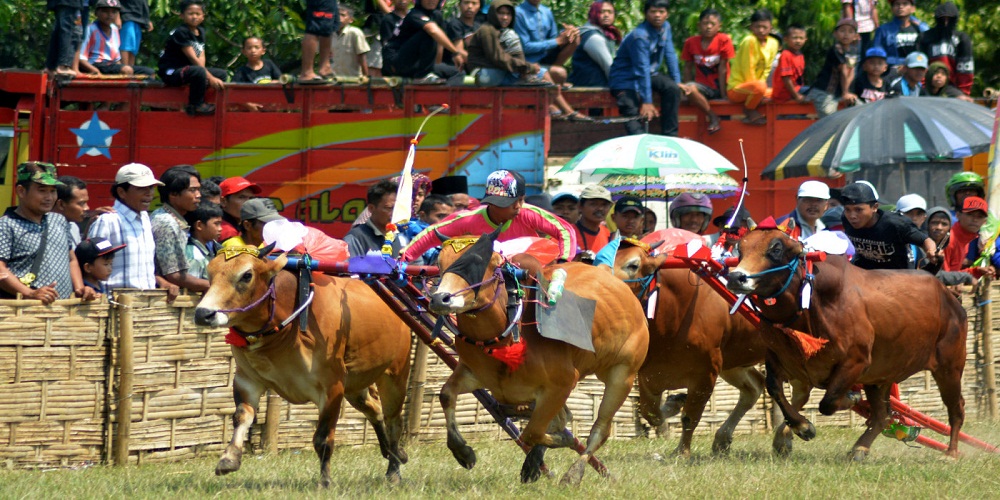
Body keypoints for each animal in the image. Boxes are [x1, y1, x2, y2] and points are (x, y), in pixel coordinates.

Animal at [193, 244, 412, 486]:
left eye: (246, 275)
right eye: (210, 272)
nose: (203, 314)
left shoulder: (331, 387)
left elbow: (323, 438)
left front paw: (325, 481)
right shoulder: (246, 379)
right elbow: (241, 416)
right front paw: (229, 458)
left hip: (395, 376)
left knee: (394, 421)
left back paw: (394, 469)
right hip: (356, 386)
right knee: (375, 410)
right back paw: (394, 453)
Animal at [428, 230, 648, 484]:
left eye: (482, 262)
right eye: (440, 263)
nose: (440, 298)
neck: (509, 332)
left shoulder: (562, 384)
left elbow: (533, 433)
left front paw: (556, 448)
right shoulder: (473, 373)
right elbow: (446, 395)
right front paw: (463, 451)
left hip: (622, 375)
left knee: (599, 429)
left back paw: (573, 474)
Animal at [728, 229, 968, 458]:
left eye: (776, 249)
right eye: (740, 250)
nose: (735, 277)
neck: (809, 307)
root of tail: (950, 298)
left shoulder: (856, 362)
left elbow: (828, 402)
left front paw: (852, 397)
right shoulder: (776, 356)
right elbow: (774, 388)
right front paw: (803, 427)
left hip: (949, 368)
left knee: (956, 408)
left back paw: (951, 453)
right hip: (881, 377)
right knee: (883, 416)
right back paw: (860, 449)